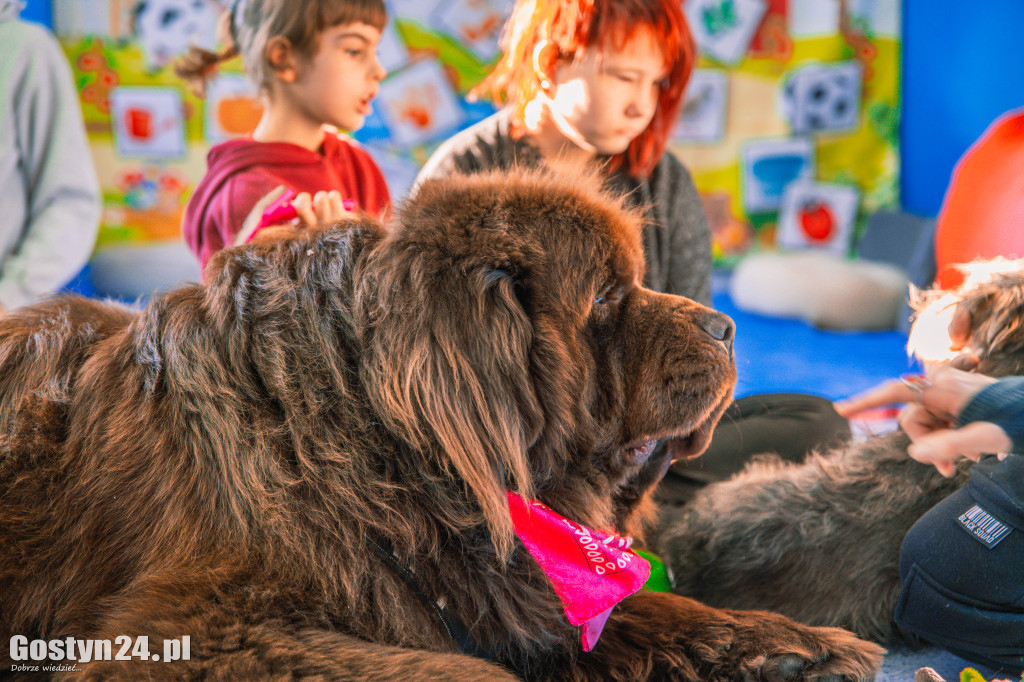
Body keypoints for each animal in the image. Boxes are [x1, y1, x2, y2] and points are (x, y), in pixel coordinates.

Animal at [0, 166, 880, 675]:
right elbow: (462, 669)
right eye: (604, 297)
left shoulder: (495, 591)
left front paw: (794, 648)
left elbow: (643, 612)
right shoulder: (198, 627)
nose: (725, 326)